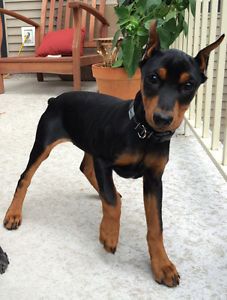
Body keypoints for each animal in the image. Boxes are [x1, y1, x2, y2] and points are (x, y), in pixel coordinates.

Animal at [2, 23, 224, 286]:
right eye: (153, 78)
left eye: (188, 85)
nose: (162, 119)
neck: (143, 134)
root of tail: (55, 98)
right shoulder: (104, 160)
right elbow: (111, 203)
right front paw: (109, 234)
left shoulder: (154, 179)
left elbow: (155, 225)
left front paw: (162, 265)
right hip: (44, 144)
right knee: (26, 177)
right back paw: (13, 214)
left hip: (89, 140)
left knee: (85, 168)